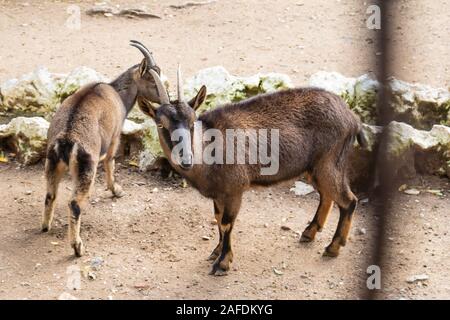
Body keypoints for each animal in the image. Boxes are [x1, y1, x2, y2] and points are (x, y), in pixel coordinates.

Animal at [42, 40, 163, 258]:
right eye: (152, 77)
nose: (167, 99)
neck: (117, 93)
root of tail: (66, 140)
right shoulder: (115, 136)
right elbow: (110, 162)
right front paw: (117, 190)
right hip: (86, 167)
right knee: (74, 204)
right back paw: (78, 247)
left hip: (52, 163)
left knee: (50, 194)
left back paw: (46, 226)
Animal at [139, 67, 368, 276]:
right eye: (161, 124)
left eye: (192, 122)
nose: (186, 159)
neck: (209, 149)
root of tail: (353, 118)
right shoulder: (219, 194)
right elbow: (217, 218)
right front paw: (216, 252)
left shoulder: (235, 190)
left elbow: (226, 223)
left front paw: (223, 263)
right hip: (315, 167)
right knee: (327, 195)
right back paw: (309, 233)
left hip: (329, 161)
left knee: (348, 200)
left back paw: (333, 247)